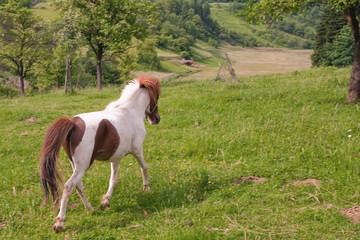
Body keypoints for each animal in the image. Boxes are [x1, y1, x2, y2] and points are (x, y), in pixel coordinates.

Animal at [39, 75, 162, 232]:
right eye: (156, 97)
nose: (156, 119)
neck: (130, 111)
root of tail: (73, 123)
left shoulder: (116, 157)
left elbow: (113, 179)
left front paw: (105, 202)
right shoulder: (137, 149)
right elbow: (144, 167)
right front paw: (146, 189)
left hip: (75, 164)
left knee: (78, 185)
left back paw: (90, 210)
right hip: (83, 165)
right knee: (69, 186)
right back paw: (59, 223)